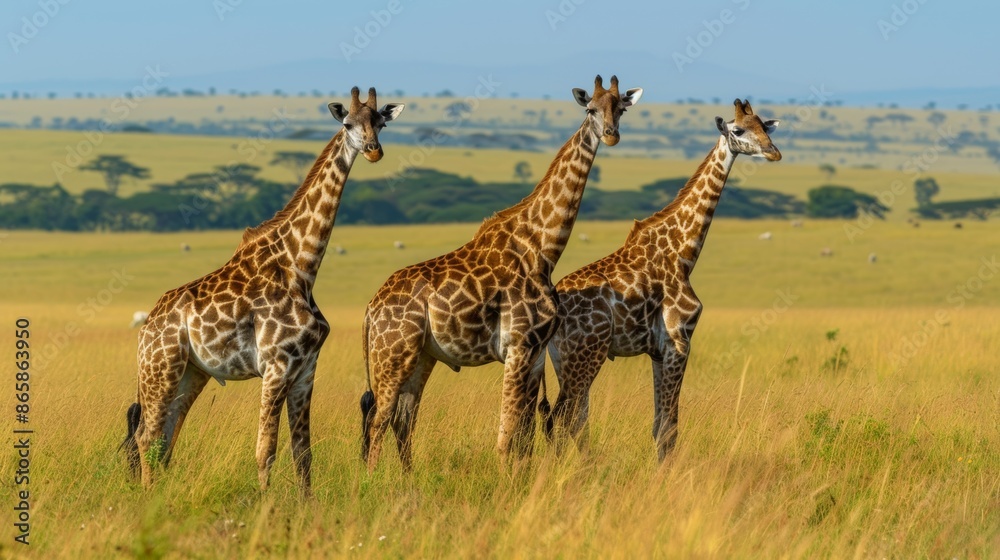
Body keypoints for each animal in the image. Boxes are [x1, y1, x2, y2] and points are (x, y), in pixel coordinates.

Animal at [121, 87, 404, 492]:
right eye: (348, 124)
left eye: (380, 123)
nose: (373, 150)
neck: (302, 267)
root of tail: (147, 326)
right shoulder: (276, 365)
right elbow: (266, 450)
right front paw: (265, 503)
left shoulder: (306, 370)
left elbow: (303, 452)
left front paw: (306, 504)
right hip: (160, 366)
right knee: (147, 435)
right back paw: (147, 495)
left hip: (192, 371)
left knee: (165, 436)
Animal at [360, 75, 643, 472]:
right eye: (590, 109)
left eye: (621, 109)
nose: (611, 134)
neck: (544, 248)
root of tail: (371, 310)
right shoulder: (517, 346)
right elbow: (507, 433)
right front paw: (505, 479)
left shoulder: (536, 354)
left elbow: (525, 432)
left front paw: (522, 477)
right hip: (392, 354)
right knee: (379, 420)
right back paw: (372, 481)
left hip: (422, 355)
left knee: (404, 419)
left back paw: (408, 480)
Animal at [539, 99, 780, 461]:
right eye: (738, 130)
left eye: (765, 127)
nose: (773, 152)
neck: (683, 252)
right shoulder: (679, 340)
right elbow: (669, 428)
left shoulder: (657, 350)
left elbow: (659, 425)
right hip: (587, 354)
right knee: (563, 419)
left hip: (563, 360)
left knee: (572, 420)